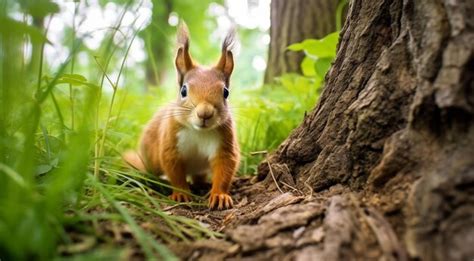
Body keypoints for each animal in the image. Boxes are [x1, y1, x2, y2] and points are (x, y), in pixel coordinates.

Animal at [123, 22, 239, 209]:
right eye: (183, 90)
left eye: (226, 92)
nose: (204, 113)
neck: (199, 132)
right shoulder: (171, 143)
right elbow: (175, 172)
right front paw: (181, 194)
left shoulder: (225, 142)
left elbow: (225, 168)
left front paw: (219, 195)